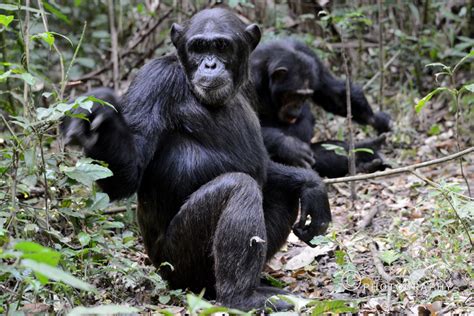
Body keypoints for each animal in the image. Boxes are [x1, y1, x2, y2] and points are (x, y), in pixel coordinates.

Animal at [61, 8, 332, 312]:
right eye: (198, 47)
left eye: (222, 46)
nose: (210, 65)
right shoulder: (153, 82)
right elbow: (129, 175)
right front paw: (100, 113)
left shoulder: (250, 86)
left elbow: (266, 163)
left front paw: (311, 185)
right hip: (179, 264)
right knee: (238, 187)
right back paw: (243, 297)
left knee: (283, 193)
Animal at [250, 39, 390, 175]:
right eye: (293, 95)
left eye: (304, 97)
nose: (297, 107)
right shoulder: (252, 77)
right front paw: (289, 146)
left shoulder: (312, 59)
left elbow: (333, 94)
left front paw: (377, 119)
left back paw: (364, 152)